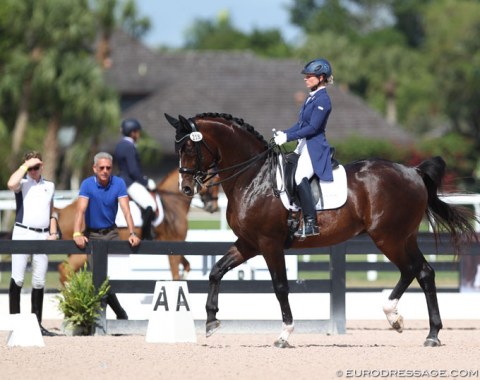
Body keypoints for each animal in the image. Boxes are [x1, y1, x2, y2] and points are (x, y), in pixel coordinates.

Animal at [56, 169, 219, 284]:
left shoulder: (176, 245)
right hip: (81, 252)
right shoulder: (174, 244)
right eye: (214, 179)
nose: (213, 207)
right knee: (65, 270)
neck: (173, 202)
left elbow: (186, 266)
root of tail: (63, 211)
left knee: (64, 270)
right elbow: (176, 275)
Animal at [166, 112, 476, 348]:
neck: (253, 178)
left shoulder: (269, 243)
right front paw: (211, 321)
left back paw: (395, 317)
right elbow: (216, 270)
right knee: (424, 273)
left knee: (411, 270)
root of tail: (413, 172)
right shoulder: (248, 243)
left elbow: (280, 286)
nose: (186, 188)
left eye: (188, 148)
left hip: (388, 237)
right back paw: (429, 332)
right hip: (405, 237)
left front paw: (284, 334)